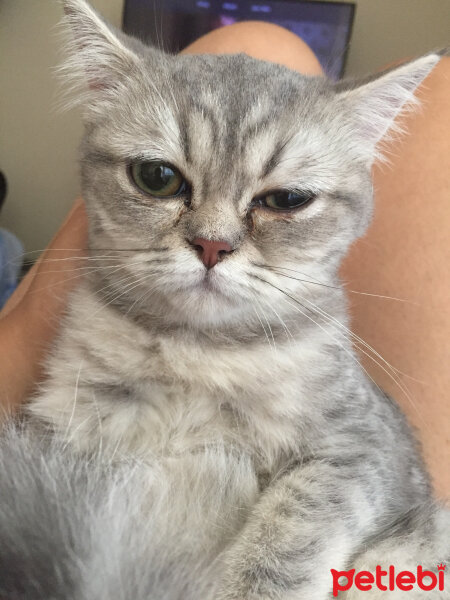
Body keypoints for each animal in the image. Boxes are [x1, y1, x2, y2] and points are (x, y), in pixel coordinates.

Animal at [0, 0, 450, 596]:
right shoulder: (58, 449)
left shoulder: (356, 451)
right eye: (157, 177)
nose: (212, 246)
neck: (198, 355)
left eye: (287, 199)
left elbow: (290, 531)